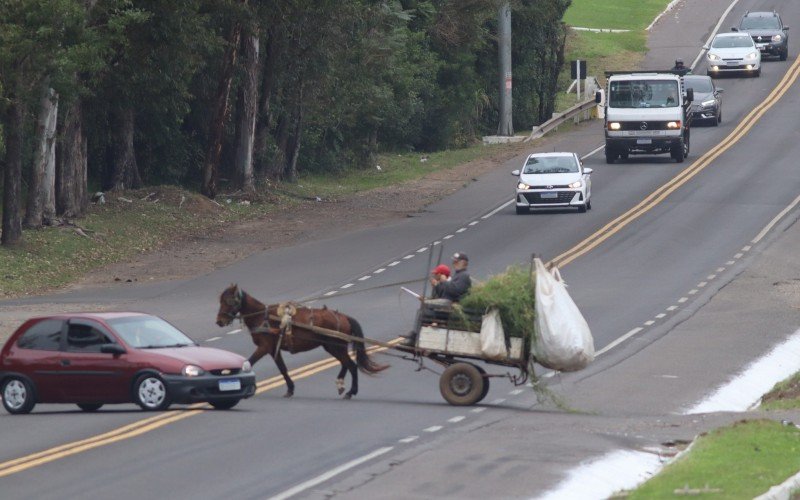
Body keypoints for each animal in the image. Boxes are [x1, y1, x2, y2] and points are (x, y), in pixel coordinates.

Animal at [212, 286, 388, 398]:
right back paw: (341, 385)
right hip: (333, 347)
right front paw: (290, 389)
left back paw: (351, 392)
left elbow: (248, 363)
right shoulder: (273, 349)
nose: (219, 321)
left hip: (334, 346)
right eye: (220, 300)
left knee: (351, 365)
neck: (262, 317)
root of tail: (344, 316)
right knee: (346, 364)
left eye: (229, 300)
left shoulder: (264, 347)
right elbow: (282, 369)